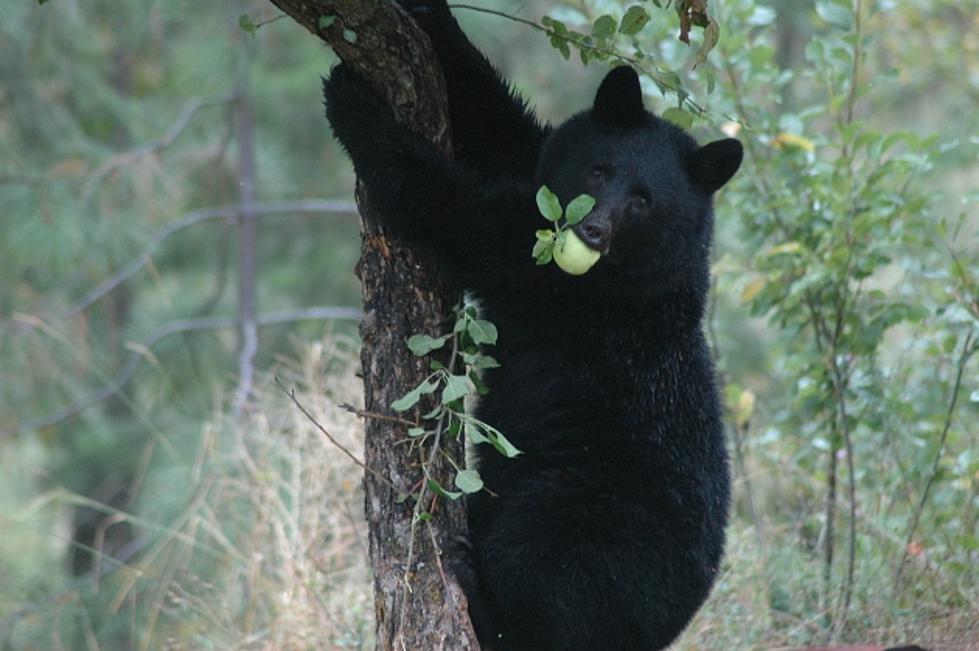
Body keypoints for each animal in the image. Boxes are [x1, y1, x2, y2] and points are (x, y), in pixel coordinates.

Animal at [322, 2, 744, 648]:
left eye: (645, 200)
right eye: (599, 170)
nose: (591, 231)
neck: (640, 272)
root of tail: (658, 631)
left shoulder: (557, 286)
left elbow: (460, 216)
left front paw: (353, 104)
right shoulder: (538, 169)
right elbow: (500, 125)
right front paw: (429, 20)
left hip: (582, 518)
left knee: (540, 582)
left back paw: (477, 590)